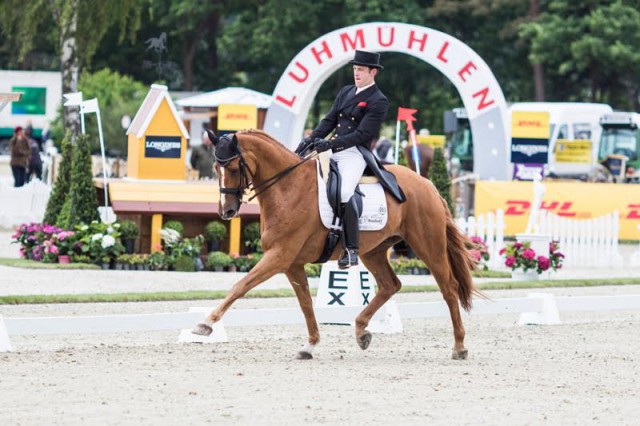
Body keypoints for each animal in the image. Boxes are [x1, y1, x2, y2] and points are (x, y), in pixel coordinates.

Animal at [192, 129, 478, 360]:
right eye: (216, 168)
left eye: (232, 168)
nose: (227, 211)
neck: (288, 187)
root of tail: (429, 184)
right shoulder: (292, 263)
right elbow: (306, 304)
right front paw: (309, 346)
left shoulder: (279, 256)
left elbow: (240, 285)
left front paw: (205, 324)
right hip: (374, 251)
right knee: (390, 285)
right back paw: (361, 331)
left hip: (428, 245)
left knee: (449, 289)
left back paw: (460, 347)